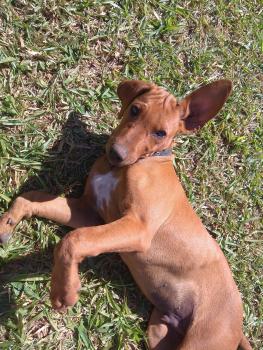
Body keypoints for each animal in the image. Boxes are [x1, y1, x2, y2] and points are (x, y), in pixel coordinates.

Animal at [0, 80, 253, 350]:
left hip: (202, 339)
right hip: (159, 333)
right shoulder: (89, 213)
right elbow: (31, 196)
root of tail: (238, 327)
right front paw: (8, 222)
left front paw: (63, 288)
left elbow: (74, 240)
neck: (128, 167)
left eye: (161, 133)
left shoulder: (137, 227)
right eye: (134, 110)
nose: (115, 153)